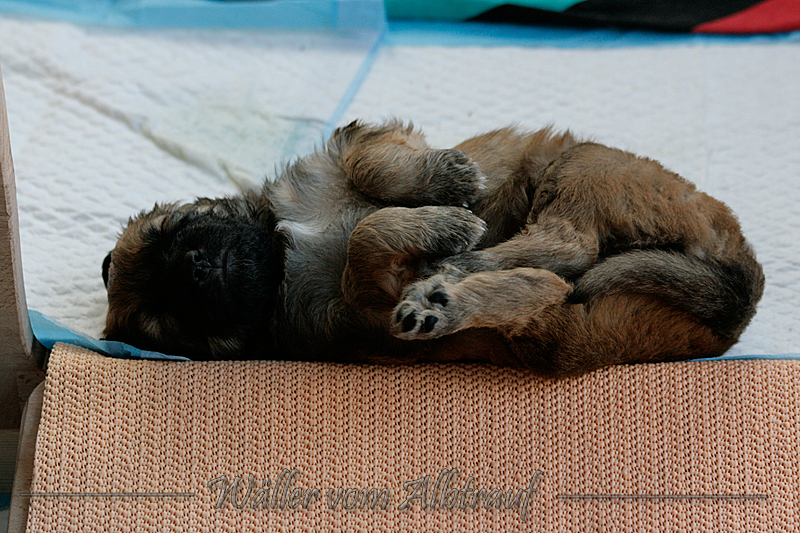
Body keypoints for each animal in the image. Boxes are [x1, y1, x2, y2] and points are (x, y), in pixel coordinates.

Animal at [102, 121, 764, 376]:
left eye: (169, 233)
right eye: (166, 323)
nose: (194, 268)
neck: (285, 256)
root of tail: (740, 290)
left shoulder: (351, 150)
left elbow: (376, 176)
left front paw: (452, 183)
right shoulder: (361, 310)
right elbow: (365, 244)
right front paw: (445, 225)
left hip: (586, 167)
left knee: (561, 253)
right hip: (562, 320)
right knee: (560, 264)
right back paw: (449, 284)